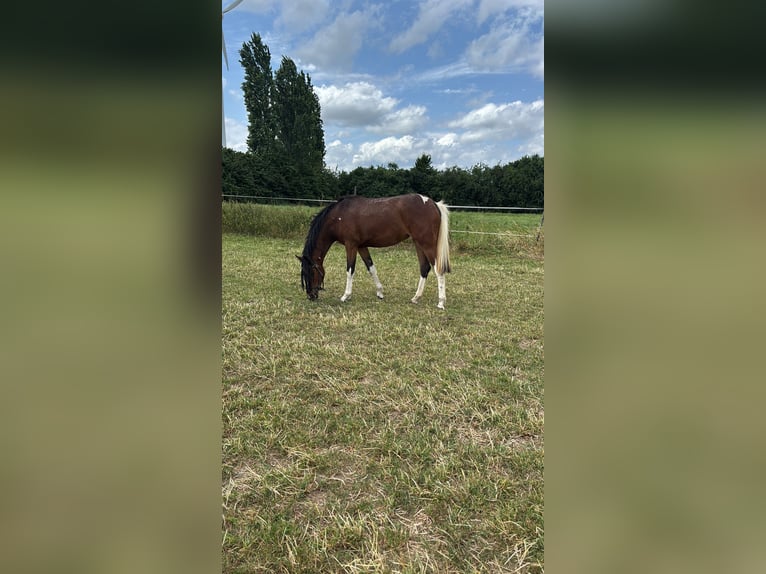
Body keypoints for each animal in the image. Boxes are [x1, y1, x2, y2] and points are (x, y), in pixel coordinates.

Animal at [296, 193, 451, 309]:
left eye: (311, 272)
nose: (311, 296)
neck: (339, 216)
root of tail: (433, 203)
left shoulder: (351, 245)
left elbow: (350, 270)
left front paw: (346, 296)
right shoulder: (361, 246)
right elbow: (371, 268)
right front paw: (380, 292)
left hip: (427, 243)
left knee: (438, 269)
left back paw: (441, 302)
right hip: (418, 243)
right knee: (424, 268)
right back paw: (415, 298)